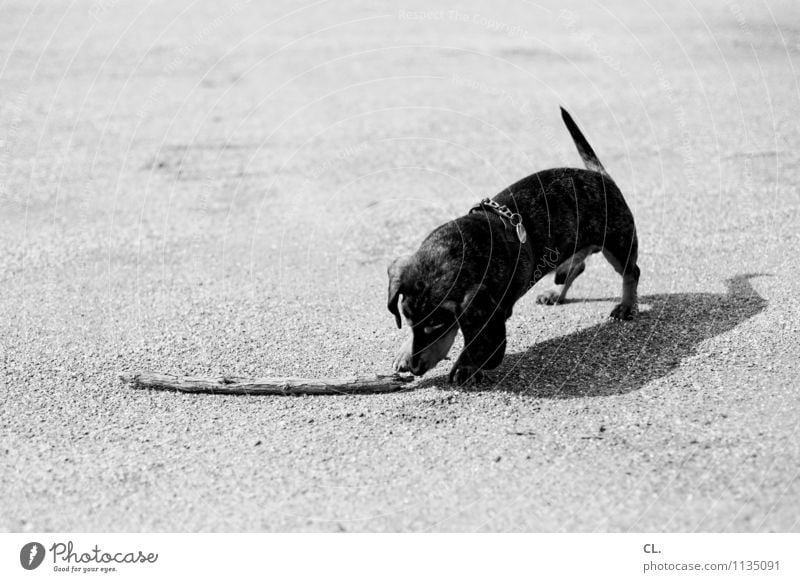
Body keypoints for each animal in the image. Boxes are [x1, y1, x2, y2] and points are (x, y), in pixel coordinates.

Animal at [384, 108, 640, 388]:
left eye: (437, 325)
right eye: (408, 320)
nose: (415, 368)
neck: (472, 242)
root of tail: (600, 175)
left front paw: (466, 366)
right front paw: (405, 351)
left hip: (617, 243)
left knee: (631, 272)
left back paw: (626, 306)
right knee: (575, 268)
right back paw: (555, 294)